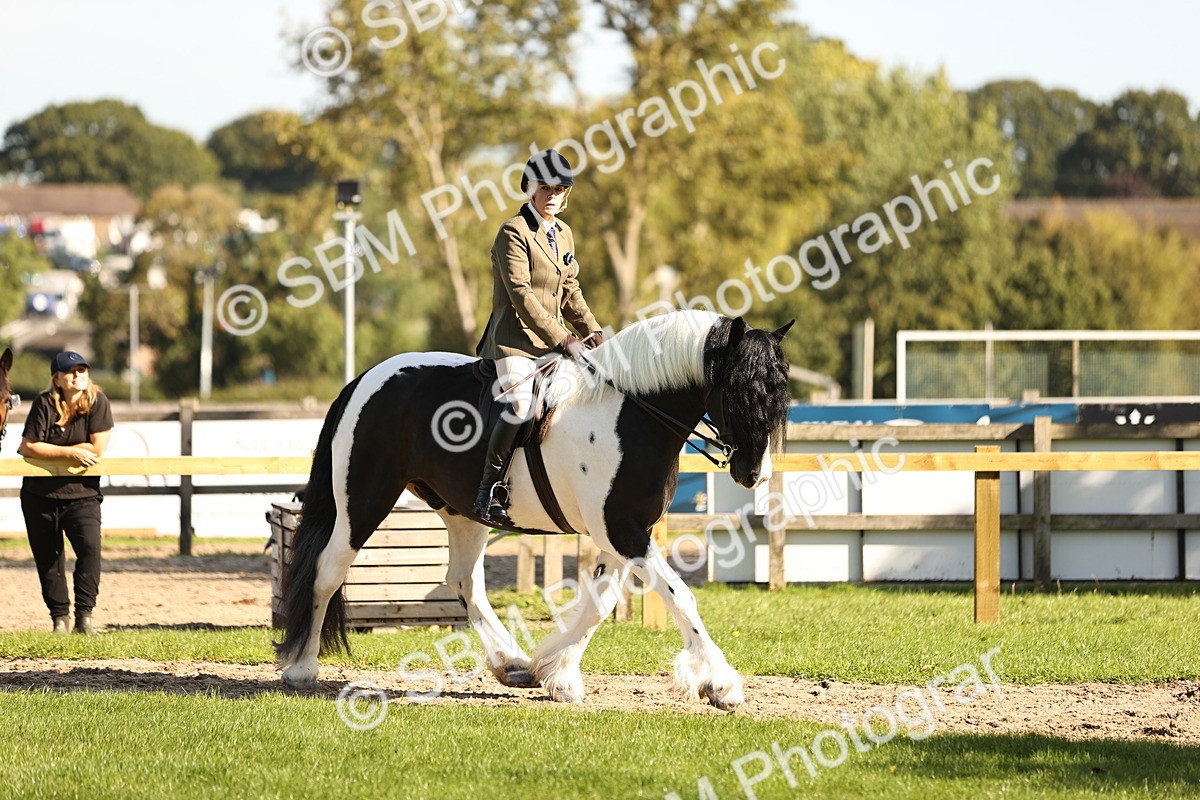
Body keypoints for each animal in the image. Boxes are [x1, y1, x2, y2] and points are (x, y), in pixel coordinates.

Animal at [276, 311, 792, 709]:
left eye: (779, 395)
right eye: (741, 393)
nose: (755, 474)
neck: (631, 413)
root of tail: (364, 380)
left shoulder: (621, 534)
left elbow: (600, 602)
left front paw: (556, 673)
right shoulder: (622, 530)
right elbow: (679, 596)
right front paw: (722, 685)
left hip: (463, 514)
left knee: (464, 582)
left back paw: (513, 665)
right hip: (363, 501)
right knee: (327, 571)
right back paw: (302, 667)